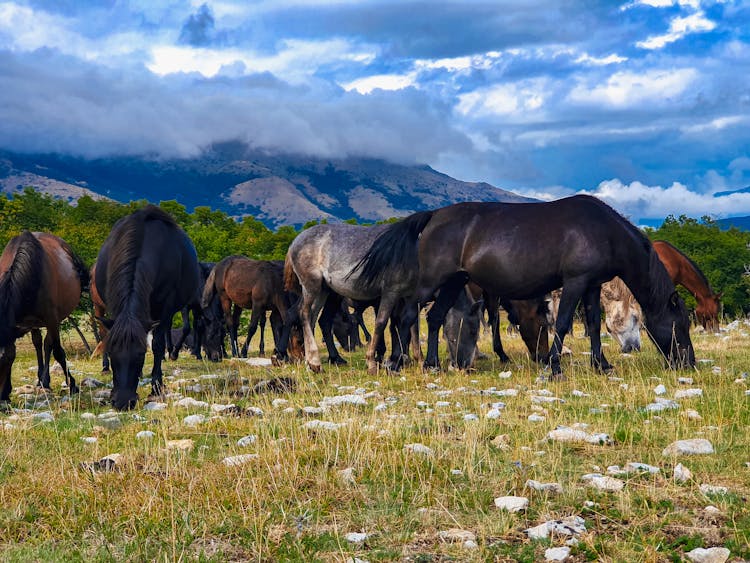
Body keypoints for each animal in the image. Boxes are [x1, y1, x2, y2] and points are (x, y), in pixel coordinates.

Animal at [0, 231, 89, 404]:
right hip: (31, 321)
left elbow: (56, 350)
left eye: (3, 360)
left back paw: (45, 380)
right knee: (38, 343)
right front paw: (6, 393)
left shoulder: (52, 320)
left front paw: (71, 384)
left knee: (49, 345)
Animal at [94, 206, 203, 410]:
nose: (122, 401)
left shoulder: (165, 307)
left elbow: (158, 345)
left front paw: (156, 388)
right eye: (112, 353)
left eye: (140, 355)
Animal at [356, 195, 696, 378]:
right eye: (679, 323)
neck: (603, 230)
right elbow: (562, 323)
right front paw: (554, 367)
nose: (689, 362)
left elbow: (594, 325)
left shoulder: (591, 285)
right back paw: (395, 363)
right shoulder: (574, 282)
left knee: (435, 317)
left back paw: (432, 364)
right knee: (407, 317)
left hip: (454, 282)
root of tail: (433, 216)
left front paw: (602, 364)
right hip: (431, 282)